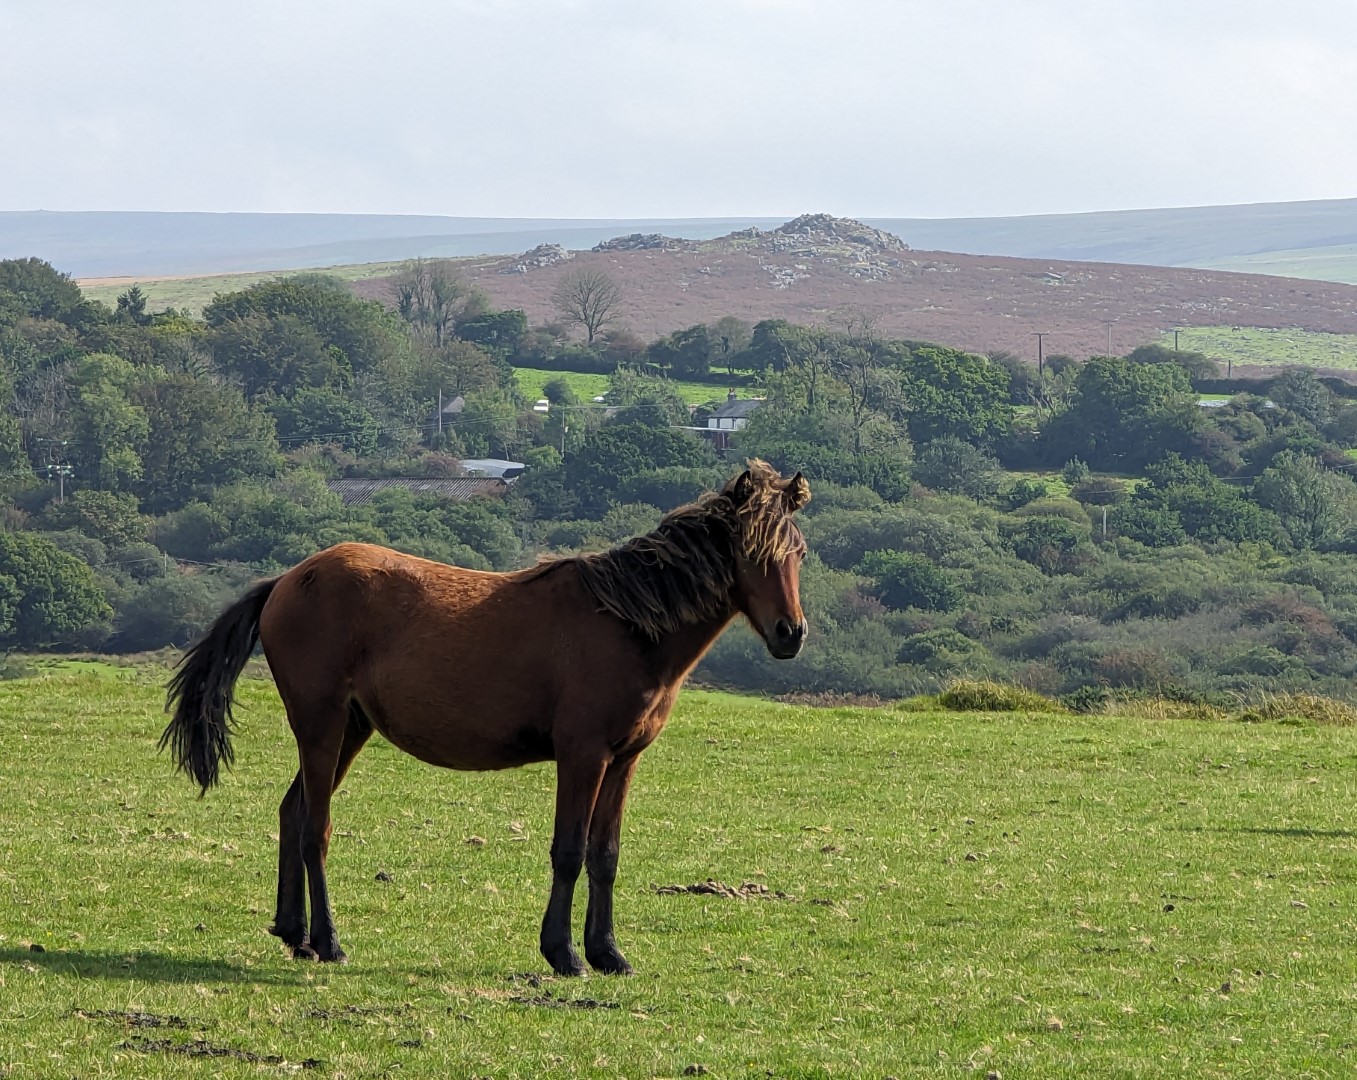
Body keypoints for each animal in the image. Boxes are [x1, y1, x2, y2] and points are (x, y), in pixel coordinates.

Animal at [164, 458, 808, 976]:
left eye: (798, 552)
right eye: (752, 552)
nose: (791, 634)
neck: (626, 626)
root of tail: (285, 581)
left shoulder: (623, 761)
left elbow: (605, 855)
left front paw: (608, 953)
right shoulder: (583, 756)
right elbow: (569, 851)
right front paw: (564, 954)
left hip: (349, 730)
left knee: (294, 811)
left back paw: (294, 934)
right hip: (321, 727)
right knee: (315, 829)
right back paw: (328, 942)